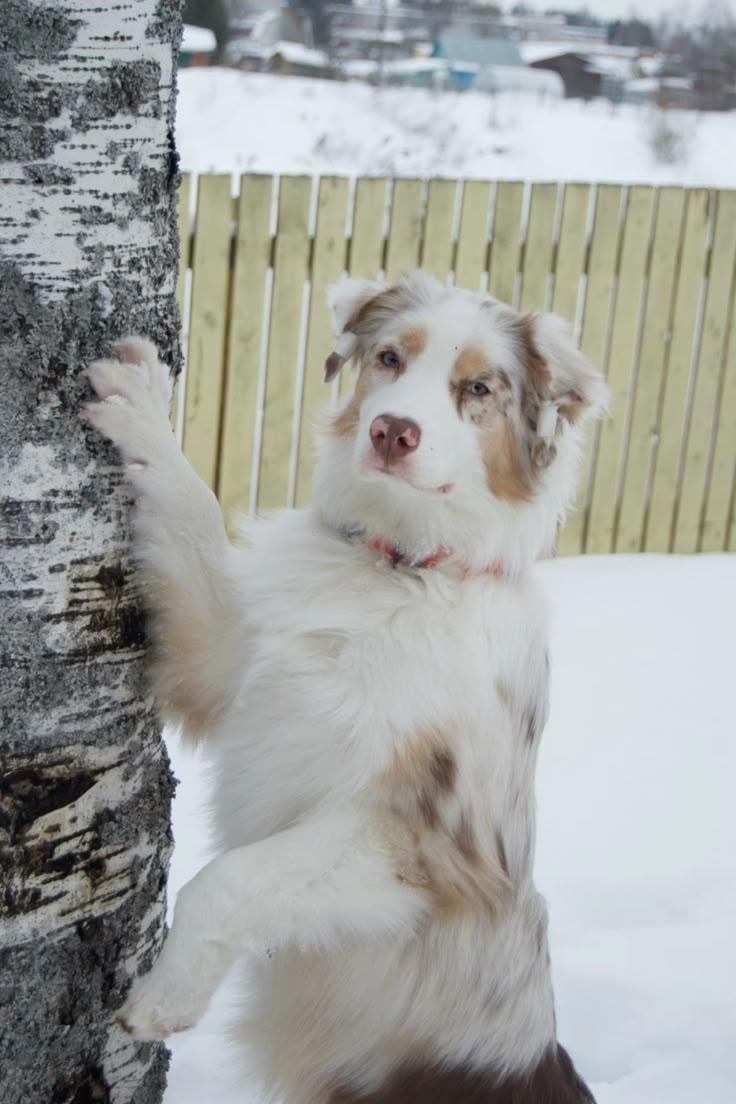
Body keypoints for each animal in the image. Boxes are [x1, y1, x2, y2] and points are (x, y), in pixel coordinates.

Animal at [83, 271, 607, 1103]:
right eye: (391, 357)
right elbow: (193, 512)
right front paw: (143, 408)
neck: (403, 571)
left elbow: (228, 879)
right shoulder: (231, 667)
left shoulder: (430, 852)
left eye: (478, 388)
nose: (393, 430)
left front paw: (164, 998)